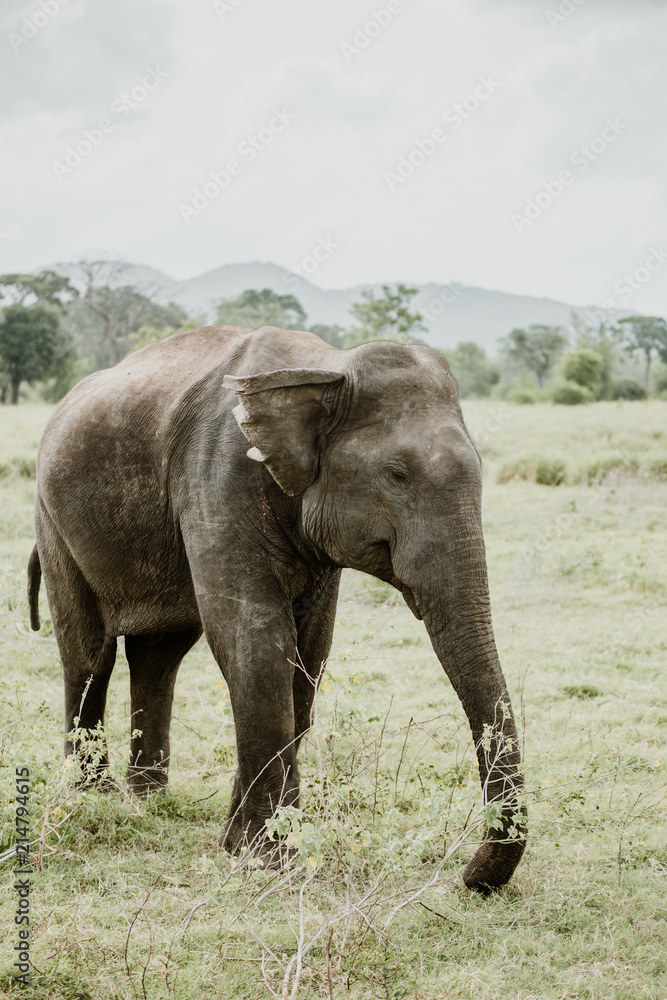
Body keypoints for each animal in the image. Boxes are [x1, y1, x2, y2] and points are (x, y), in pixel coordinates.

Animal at [27, 323, 526, 890]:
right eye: (397, 475)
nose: (467, 877)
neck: (326, 368)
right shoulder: (216, 478)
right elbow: (258, 644)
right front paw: (265, 858)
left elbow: (308, 655)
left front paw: (252, 842)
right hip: (51, 517)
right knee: (89, 653)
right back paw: (93, 797)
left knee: (158, 657)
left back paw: (148, 797)